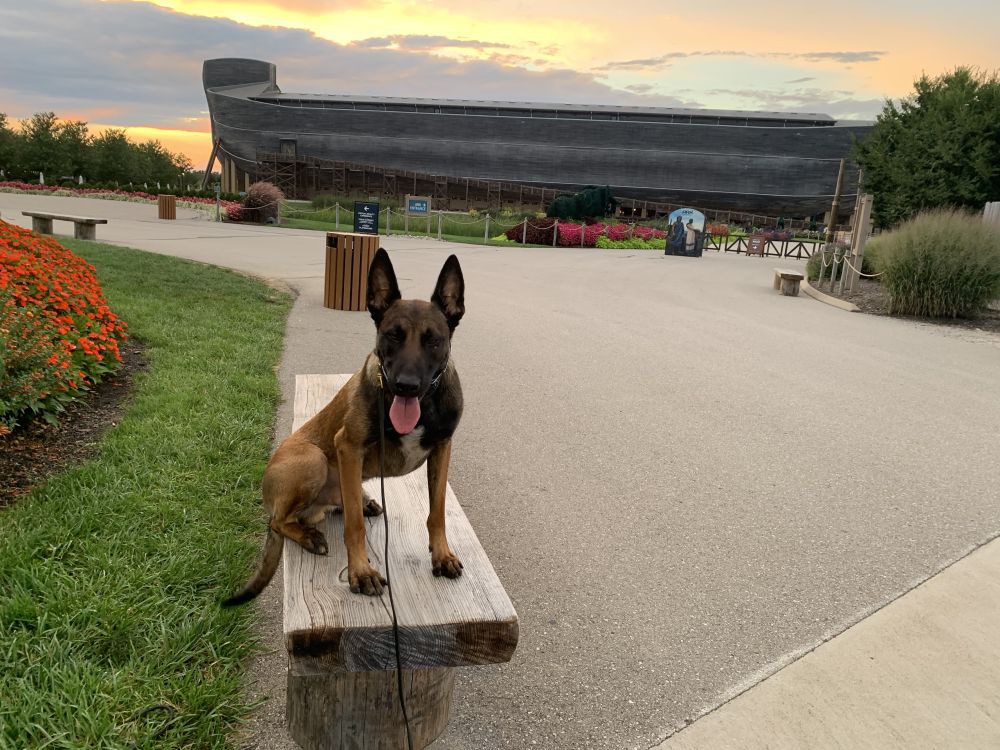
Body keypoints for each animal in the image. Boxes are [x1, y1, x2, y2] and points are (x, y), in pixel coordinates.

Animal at [223, 250, 464, 608]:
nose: (406, 386)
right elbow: (354, 527)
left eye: (434, 340)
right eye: (392, 334)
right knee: (279, 522)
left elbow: (437, 511)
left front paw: (441, 555)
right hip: (313, 460)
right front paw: (361, 571)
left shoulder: (442, 448)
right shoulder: (348, 448)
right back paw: (310, 536)